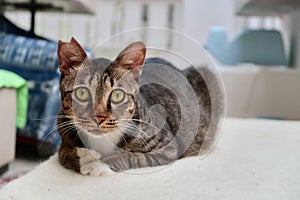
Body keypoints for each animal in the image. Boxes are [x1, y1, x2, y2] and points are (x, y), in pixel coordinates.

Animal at [57, 37, 224, 175]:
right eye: (82, 93)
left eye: (117, 95)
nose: (99, 117)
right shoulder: (63, 137)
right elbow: (64, 155)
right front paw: (83, 156)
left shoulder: (168, 147)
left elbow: (132, 156)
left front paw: (99, 164)